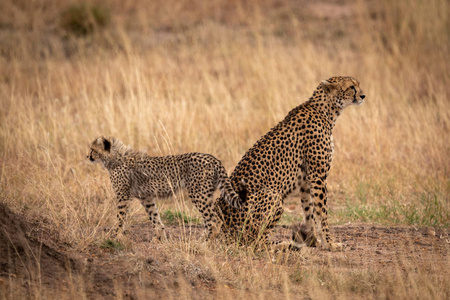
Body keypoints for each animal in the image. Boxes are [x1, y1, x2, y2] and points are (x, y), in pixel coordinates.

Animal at [89, 137, 241, 240]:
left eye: (92, 150)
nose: (88, 156)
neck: (115, 157)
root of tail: (212, 158)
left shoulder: (123, 196)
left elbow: (120, 217)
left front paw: (114, 235)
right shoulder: (146, 197)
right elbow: (154, 216)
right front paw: (159, 237)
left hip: (198, 194)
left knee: (214, 220)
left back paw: (206, 242)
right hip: (205, 194)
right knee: (209, 220)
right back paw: (203, 239)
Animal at [215, 75, 366, 251]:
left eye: (358, 85)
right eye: (351, 87)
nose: (363, 96)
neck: (326, 111)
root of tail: (222, 230)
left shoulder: (307, 181)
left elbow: (309, 212)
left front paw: (314, 241)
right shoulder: (318, 176)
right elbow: (322, 212)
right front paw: (329, 243)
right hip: (272, 196)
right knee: (254, 241)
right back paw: (283, 245)